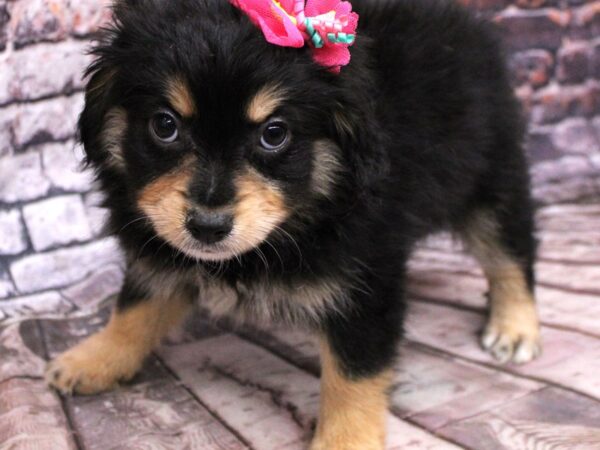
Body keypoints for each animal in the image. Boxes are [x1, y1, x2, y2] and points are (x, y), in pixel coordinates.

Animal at [47, 1, 540, 448]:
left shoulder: (365, 281)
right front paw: (95, 359)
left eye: (274, 133)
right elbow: (135, 305)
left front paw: (345, 443)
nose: (207, 227)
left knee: (510, 253)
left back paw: (515, 326)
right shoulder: (159, 243)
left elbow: (352, 376)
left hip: (492, 178)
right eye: (164, 125)